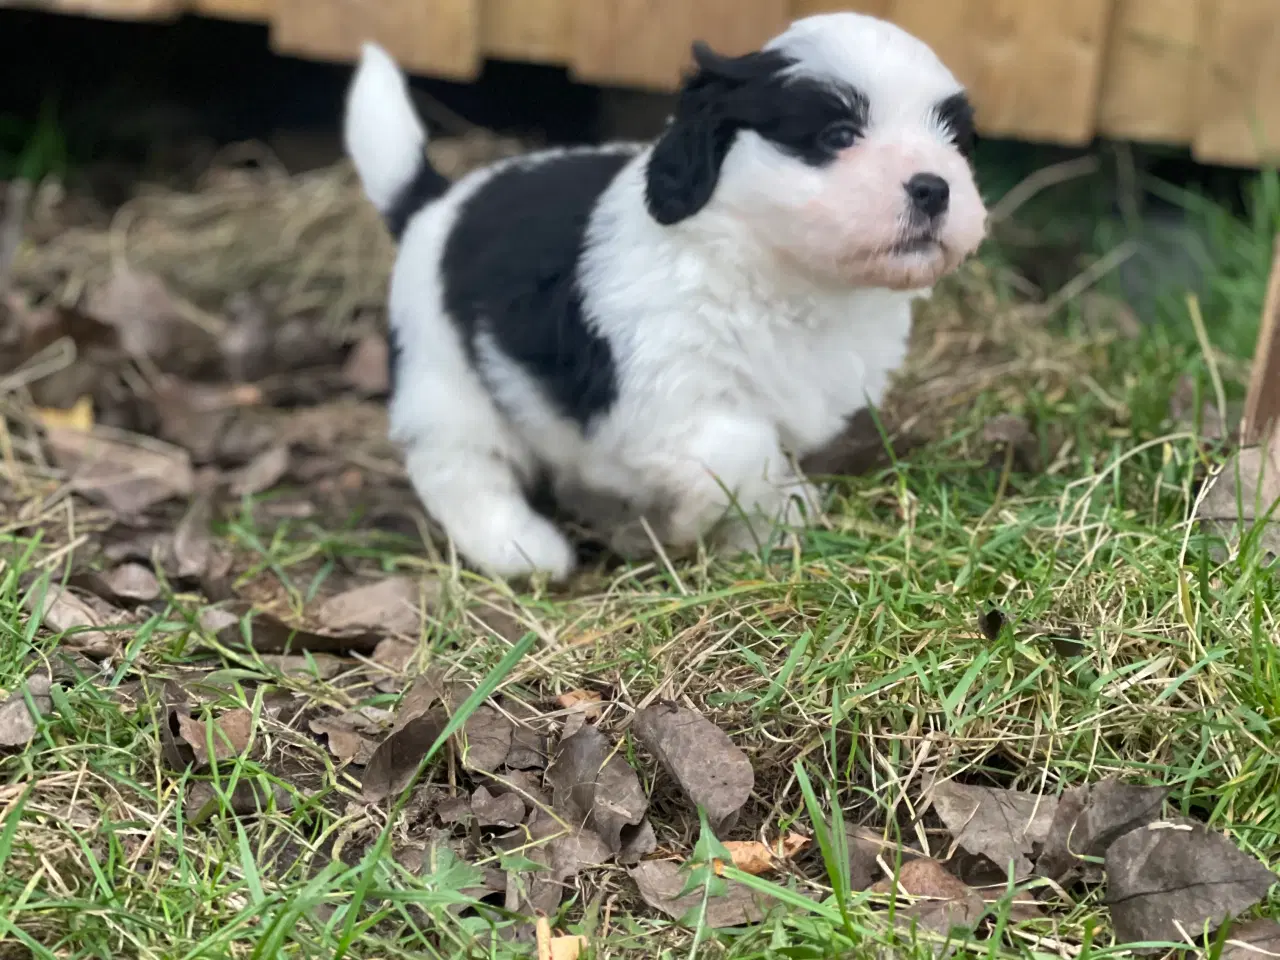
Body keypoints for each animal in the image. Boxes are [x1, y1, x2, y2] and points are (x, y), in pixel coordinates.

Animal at [345, 15, 983, 583]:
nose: (933, 187)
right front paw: (697, 521)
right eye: (838, 136)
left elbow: (764, 466)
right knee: (457, 465)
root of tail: (433, 205)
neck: (782, 277)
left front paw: (764, 529)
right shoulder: (668, 391)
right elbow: (743, 447)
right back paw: (519, 547)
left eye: (953, 140)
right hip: (444, 376)